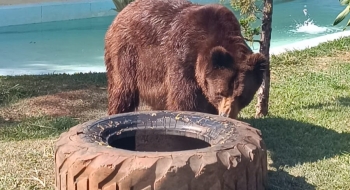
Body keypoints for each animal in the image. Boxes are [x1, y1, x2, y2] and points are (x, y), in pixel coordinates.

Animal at [103, 0, 266, 119]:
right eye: (220, 93)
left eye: (242, 96)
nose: (226, 115)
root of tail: (124, 10)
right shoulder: (183, 58)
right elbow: (185, 100)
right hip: (127, 53)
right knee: (122, 90)